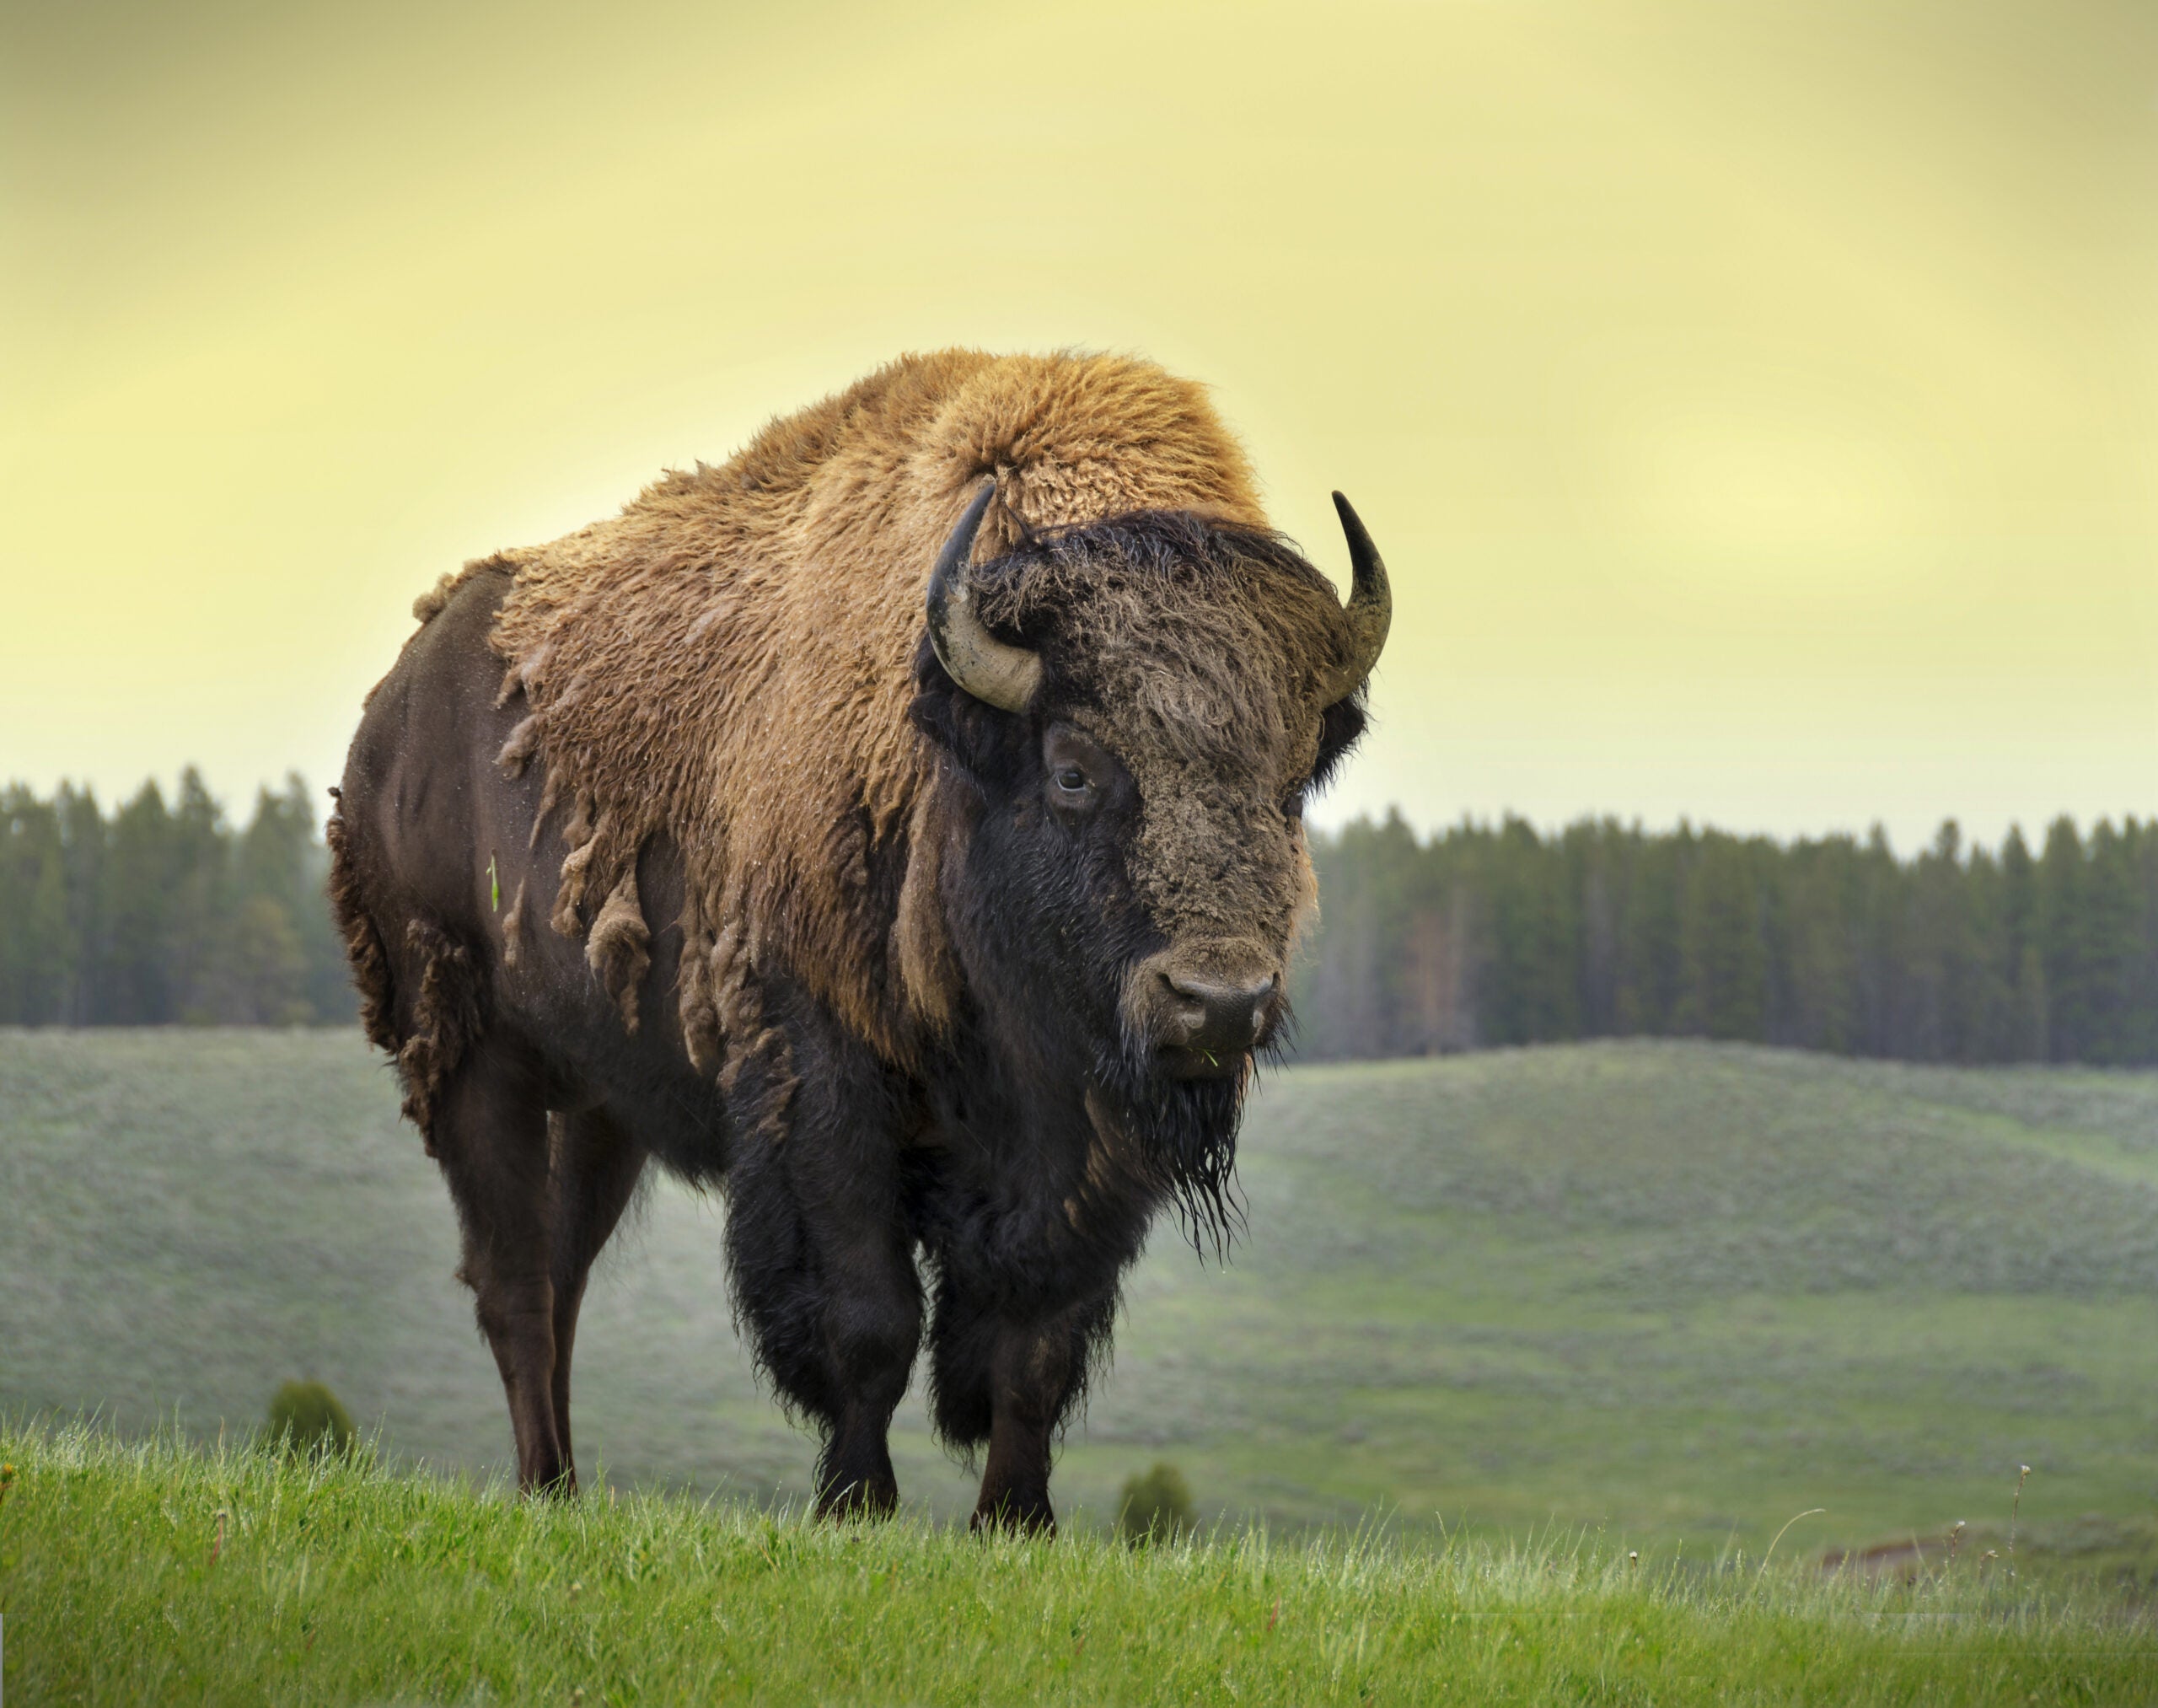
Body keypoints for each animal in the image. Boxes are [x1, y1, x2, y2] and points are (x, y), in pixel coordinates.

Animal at [328, 349, 1389, 1537]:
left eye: (1292, 780)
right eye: (1073, 766)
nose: (1220, 1000)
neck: (952, 753)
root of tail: (392, 713)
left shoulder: (1085, 1149)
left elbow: (1035, 1341)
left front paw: (1014, 1518)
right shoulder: (820, 1077)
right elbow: (868, 1319)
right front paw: (856, 1503)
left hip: (600, 1103)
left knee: (561, 1277)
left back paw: (560, 1491)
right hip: (473, 1055)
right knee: (514, 1283)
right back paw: (549, 1483)